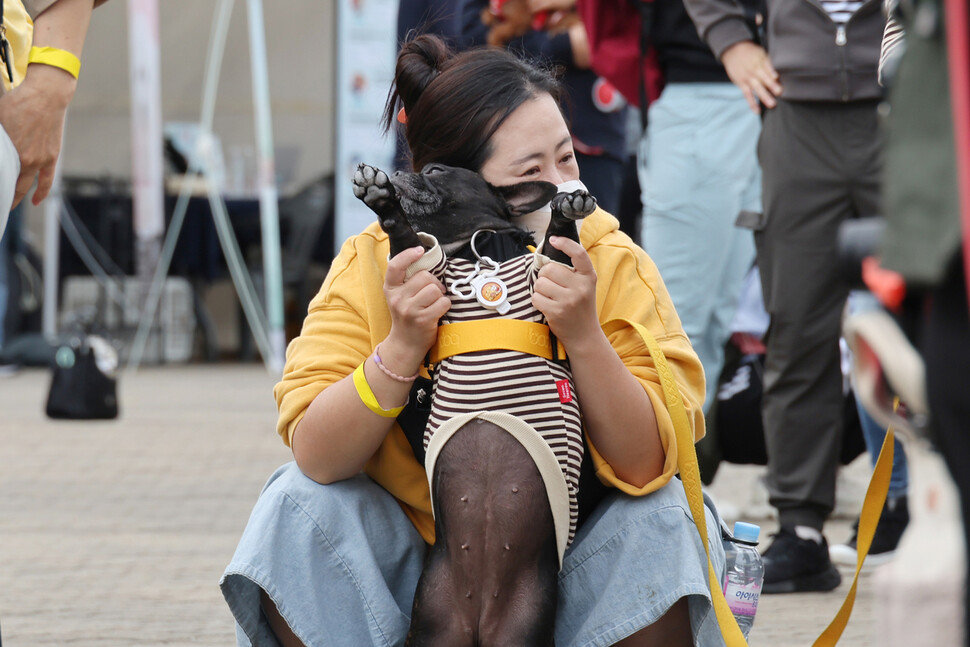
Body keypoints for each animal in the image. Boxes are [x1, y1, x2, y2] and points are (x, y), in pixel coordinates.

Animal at [352, 165, 592, 644]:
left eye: (437, 171)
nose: (405, 170)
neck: (482, 252)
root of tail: (480, 615)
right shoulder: (424, 268)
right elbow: (404, 235)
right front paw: (380, 197)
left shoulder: (549, 275)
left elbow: (557, 245)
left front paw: (567, 207)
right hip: (433, 623)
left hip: (522, 628)